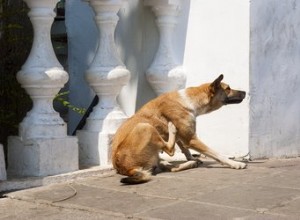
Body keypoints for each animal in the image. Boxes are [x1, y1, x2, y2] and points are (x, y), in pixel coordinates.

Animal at [112, 75, 246, 184]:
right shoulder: (191, 139)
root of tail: (126, 169)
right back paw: (172, 130)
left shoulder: (185, 137)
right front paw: (235, 163)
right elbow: (216, 153)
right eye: (228, 88)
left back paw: (189, 163)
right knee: (170, 150)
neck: (190, 100)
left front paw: (192, 158)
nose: (245, 92)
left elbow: (185, 149)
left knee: (171, 167)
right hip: (145, 126)